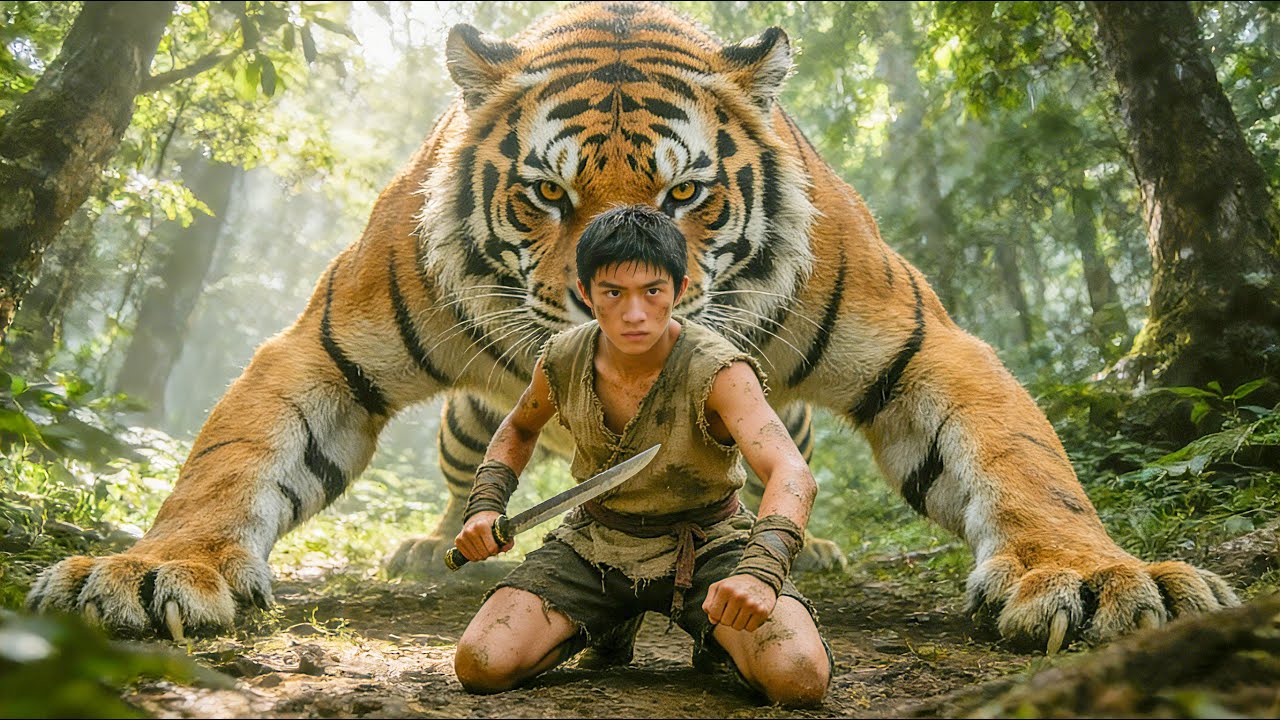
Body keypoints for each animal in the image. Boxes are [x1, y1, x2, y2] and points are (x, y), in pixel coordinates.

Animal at [27, 1, 1236, 654]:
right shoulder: (318, 345)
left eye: (683, 194)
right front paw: (144, 571)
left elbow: (1023, 463)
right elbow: (228, 462)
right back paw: (435, 550)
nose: (615, 301)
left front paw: (1101, 580)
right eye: (546, 195)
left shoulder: (921, 340)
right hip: (468, 423)